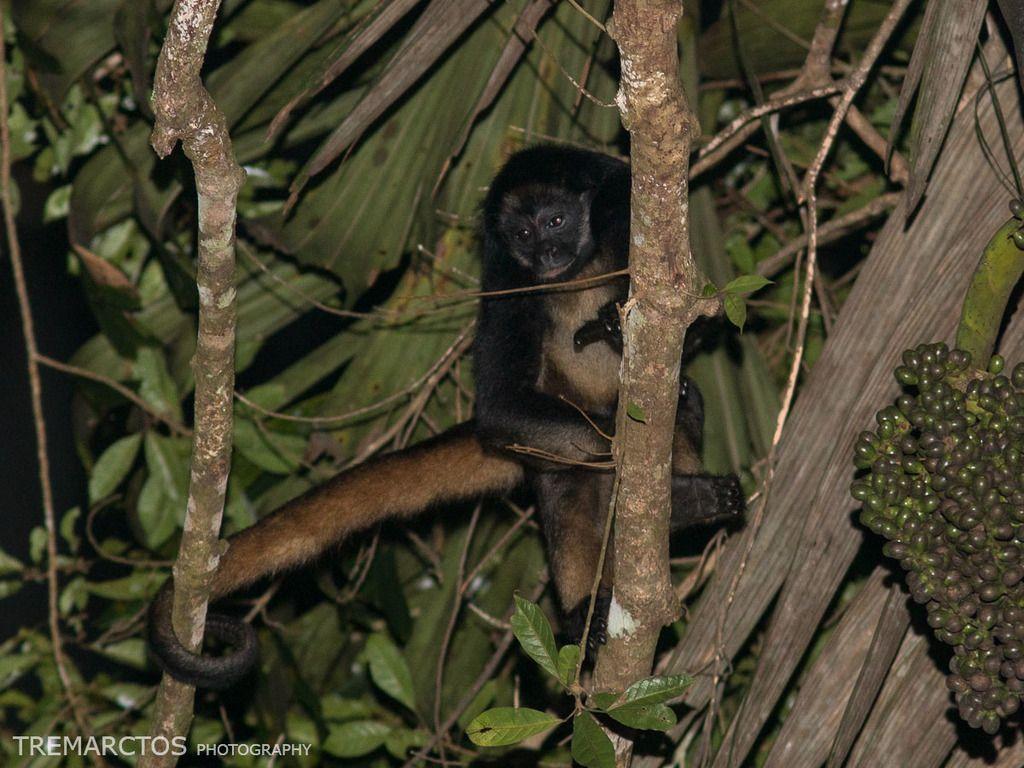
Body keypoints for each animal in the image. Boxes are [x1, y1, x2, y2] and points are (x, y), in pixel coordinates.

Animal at [147, 145, 744, 690]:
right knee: (567, 482)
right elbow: (500, 409)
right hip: (550, 434)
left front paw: (624, 332)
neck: (580, 264)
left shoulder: (620, 203)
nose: (547, 252)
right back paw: (594, 600)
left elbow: (699, 315)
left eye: (556, 221)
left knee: (683, 396)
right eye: (522, 235)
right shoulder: (504, 274)